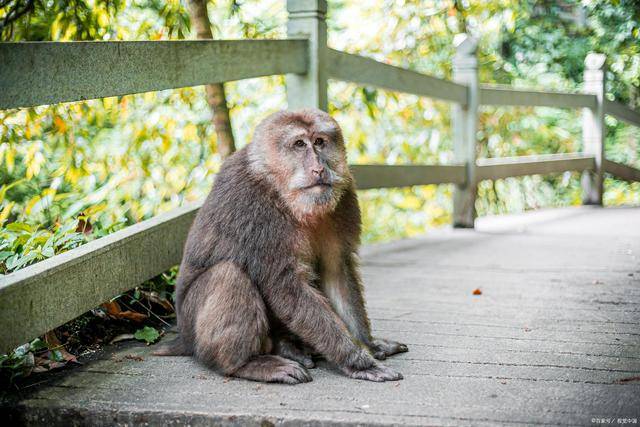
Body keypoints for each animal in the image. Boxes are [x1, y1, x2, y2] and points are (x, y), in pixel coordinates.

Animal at [158, 108, 410, 384]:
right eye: (299, 144)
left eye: (319, 142)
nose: (319, 168)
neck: (283, 193)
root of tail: (183, 338)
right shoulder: (256, 210)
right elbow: (285, 286)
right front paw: (358, 361)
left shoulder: (344, 197)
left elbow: (336, 272)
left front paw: (369, 344)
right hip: (194, 327)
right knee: (228, 275)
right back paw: (247, 364)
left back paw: (288, 346)